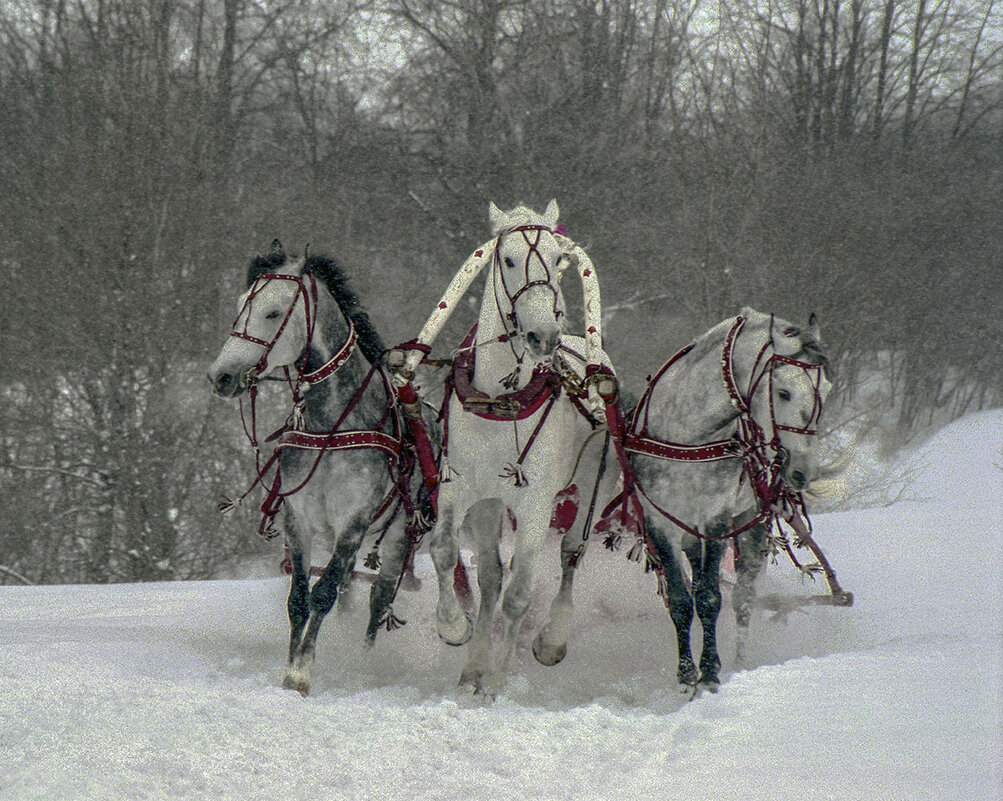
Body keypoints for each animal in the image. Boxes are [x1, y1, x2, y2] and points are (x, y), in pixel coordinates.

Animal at [206, 239, 415, 693]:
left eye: (272, 312)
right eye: (241, 304)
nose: (221, 376)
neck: (330, 425)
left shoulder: (354, 519)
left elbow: (324, 593)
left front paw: (302, 673)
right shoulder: (297, 517)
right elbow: (299, 598)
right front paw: (289, 670)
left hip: (397, 538)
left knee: (379, 599)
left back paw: (365, 661)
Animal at [389, 200, 609, 693]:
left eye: (559, 258)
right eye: (507, 259)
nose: (543, 336)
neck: (499, 401)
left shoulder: (535, 506)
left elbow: (519, 594)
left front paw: (498, 680)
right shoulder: (460, 489)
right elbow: (446, 552)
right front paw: (455, 629)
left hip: (587, 482)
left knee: (570, 553)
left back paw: (550, 639)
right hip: (491, 506)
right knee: (490, 578)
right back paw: (475, 662)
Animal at [549, 304, 830, 693]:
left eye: (826, 391)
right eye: (785, 392)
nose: (803, 471)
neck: (689, 436)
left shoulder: (715, 519)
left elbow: (710, 596)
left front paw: (710, 672)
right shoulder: (660, 521)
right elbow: (682, 600)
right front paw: (686, 674)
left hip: (749, 518)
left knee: (743, 595)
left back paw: (741, 659)